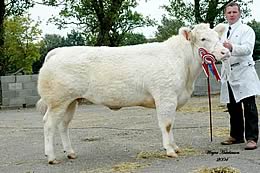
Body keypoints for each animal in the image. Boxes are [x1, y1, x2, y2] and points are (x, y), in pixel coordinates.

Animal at [36, 23, 230, 164]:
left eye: (218, 37)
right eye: (203, 38)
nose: (225, 51)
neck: (186, 70)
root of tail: (58, 51)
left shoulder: (172, 99)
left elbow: (172, 124)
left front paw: (175, 146)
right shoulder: (165, 96)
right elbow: (166, 124)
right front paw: (169, 150)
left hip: (71, 101)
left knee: (63, 125)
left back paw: (70, 152)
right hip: (57, 101)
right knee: (49, 124)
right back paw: (51, 157)